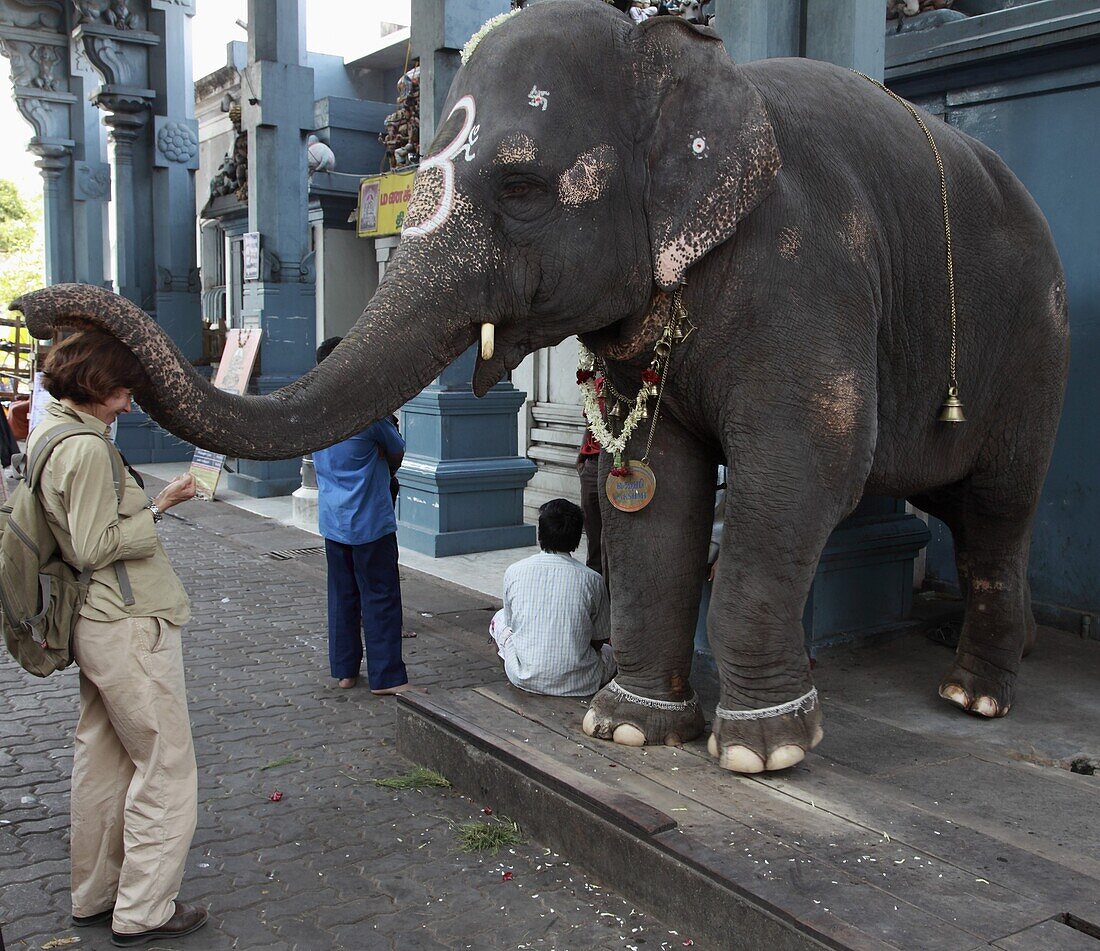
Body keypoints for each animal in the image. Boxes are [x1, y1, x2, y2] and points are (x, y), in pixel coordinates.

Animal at [15, 0, 1064, 773]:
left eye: (520, 188)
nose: (41, 314)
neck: (689, 68)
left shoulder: (809, 275)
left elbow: (803, 471)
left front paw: (760, 754)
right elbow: (659, 490)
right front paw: (629, 728)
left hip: (1036, 345)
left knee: (999, 507)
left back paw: (975, 696)